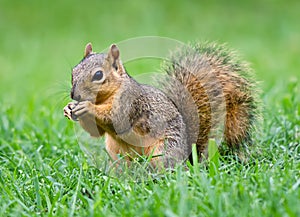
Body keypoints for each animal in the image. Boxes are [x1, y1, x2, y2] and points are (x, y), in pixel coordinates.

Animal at [62, 41, 258, 169]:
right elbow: (96, 132)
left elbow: (116, 119)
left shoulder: (130, 102)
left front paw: (87, 107)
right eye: (73, 72)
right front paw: (69, 108)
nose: (74, 95)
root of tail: (187, 157)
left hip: (163, 149)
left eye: (98, 75)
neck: (104, 98)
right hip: (116, 152)